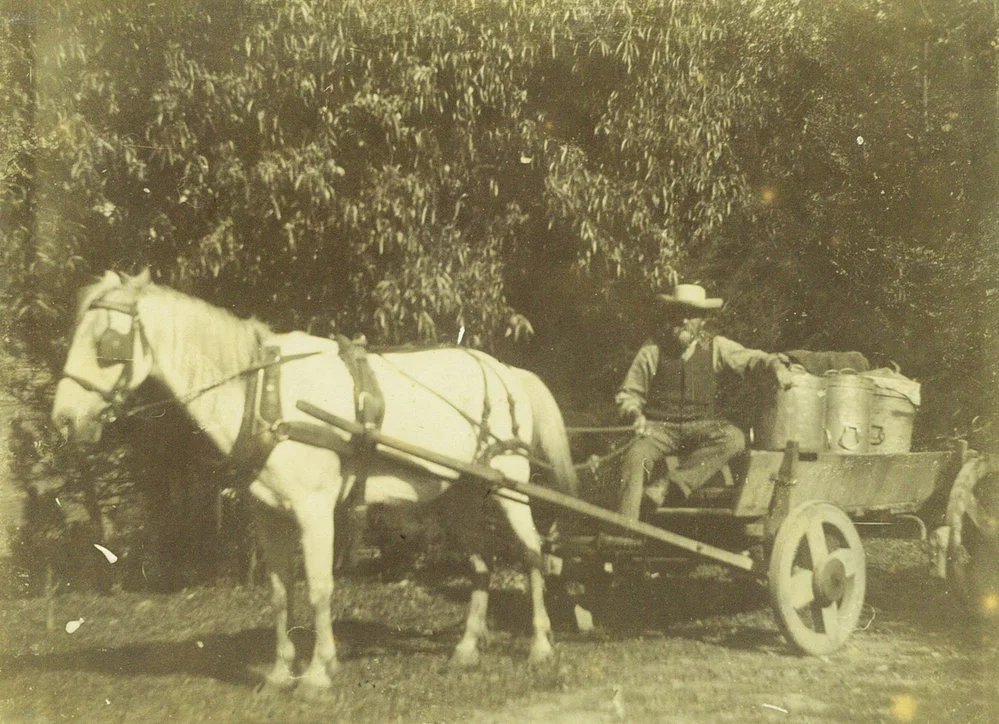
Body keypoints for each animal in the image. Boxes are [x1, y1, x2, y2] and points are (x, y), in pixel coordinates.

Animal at [52, 270, 580, 692]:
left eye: (106, 346)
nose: (63, 420)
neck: (265, 395)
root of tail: (505, 370)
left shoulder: (315, 510)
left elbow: (320, 589)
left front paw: (318, 674)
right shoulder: (267, 514)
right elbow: (280, 594)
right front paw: (280, 672)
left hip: (510, 486)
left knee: (532, 554)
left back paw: (540, 645)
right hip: (460, 495)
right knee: (482, 563)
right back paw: (467, 648)